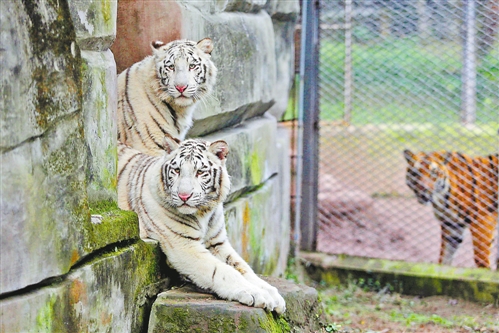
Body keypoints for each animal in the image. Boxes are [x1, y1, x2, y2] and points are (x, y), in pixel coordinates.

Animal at [117, 136, 288, 314]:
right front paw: (256, 294)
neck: (203, 212)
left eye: (200, 172)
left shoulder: (217, 243)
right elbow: (223, 271)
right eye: (176, 170)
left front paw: (272, 294)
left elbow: (243, 267)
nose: (184, 196)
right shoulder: (184, 245)